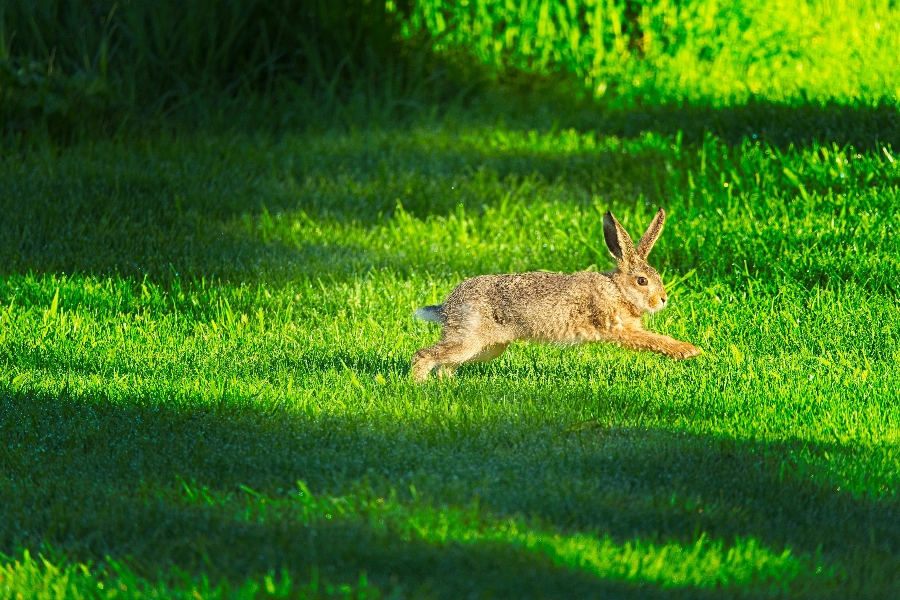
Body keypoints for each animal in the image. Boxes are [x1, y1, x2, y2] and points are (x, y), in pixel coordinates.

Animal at [410, 208, 701, 382]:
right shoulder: (618, 328)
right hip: (469, 339)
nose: (663, 299)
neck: (617, 290)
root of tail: (447, 307)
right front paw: (688, 351)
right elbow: (652, 339)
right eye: (642, 281)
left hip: (489, 347)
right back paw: (419, 385)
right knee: (424, 355)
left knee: (446, 364)